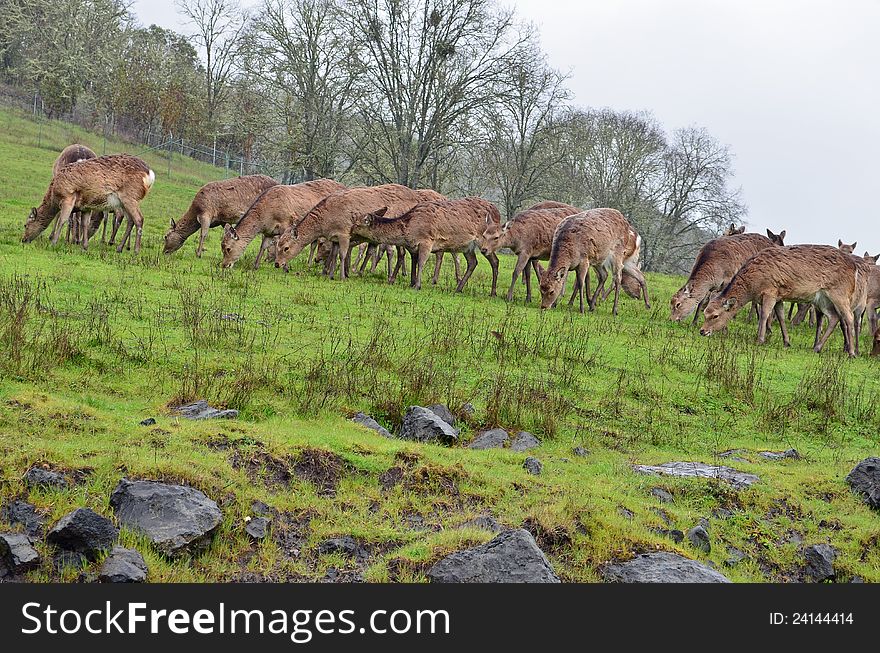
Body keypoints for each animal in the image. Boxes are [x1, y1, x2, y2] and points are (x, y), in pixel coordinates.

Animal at [24, 154, 154, 253]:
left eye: (25, 225)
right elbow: (84, 224)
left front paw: (53, 242)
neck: (54, 196)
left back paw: (136, 251)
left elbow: (62, 219)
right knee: (130, 220)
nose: (23, 240)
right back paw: (119, 248)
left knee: (139, 219)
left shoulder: (68, 196)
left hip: (130, 197)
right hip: (122, 202)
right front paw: (84, 246)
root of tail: (150, 175)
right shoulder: (85, 207)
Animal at [218, 177, 346, 268]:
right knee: (314, 243)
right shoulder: (269, 231)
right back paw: (310, 264)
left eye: (228, 248)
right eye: (221, 247)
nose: (224, 265)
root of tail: (344, 185)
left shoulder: (286, 223)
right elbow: (263, 246)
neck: (266, 217)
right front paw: (256, 265)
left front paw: (284, 266)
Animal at [696, 244, 868, 356]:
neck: (753, 285)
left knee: (849, 317)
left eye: (715, 316)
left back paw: (852, 352)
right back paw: (817, 347)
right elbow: (780, 316)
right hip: (822, 299)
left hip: (840, 293)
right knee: (834, 317)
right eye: (705, 313)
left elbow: (765, 314)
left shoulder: (770, 291)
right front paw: (786, 341)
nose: (702, 331)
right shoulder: (779, 296)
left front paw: (760, 339)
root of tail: (855, 269)